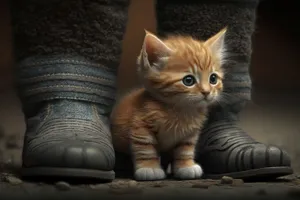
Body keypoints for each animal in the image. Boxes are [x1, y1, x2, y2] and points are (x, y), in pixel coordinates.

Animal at [110, 28, 227, 181]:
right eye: (188, 80)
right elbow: (145, 148)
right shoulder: (140, 125)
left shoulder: (189, 134)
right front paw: (149, 168)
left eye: (213, 78)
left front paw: (186, 166)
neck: (181, 110)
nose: (207, 92)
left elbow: (185, 149)